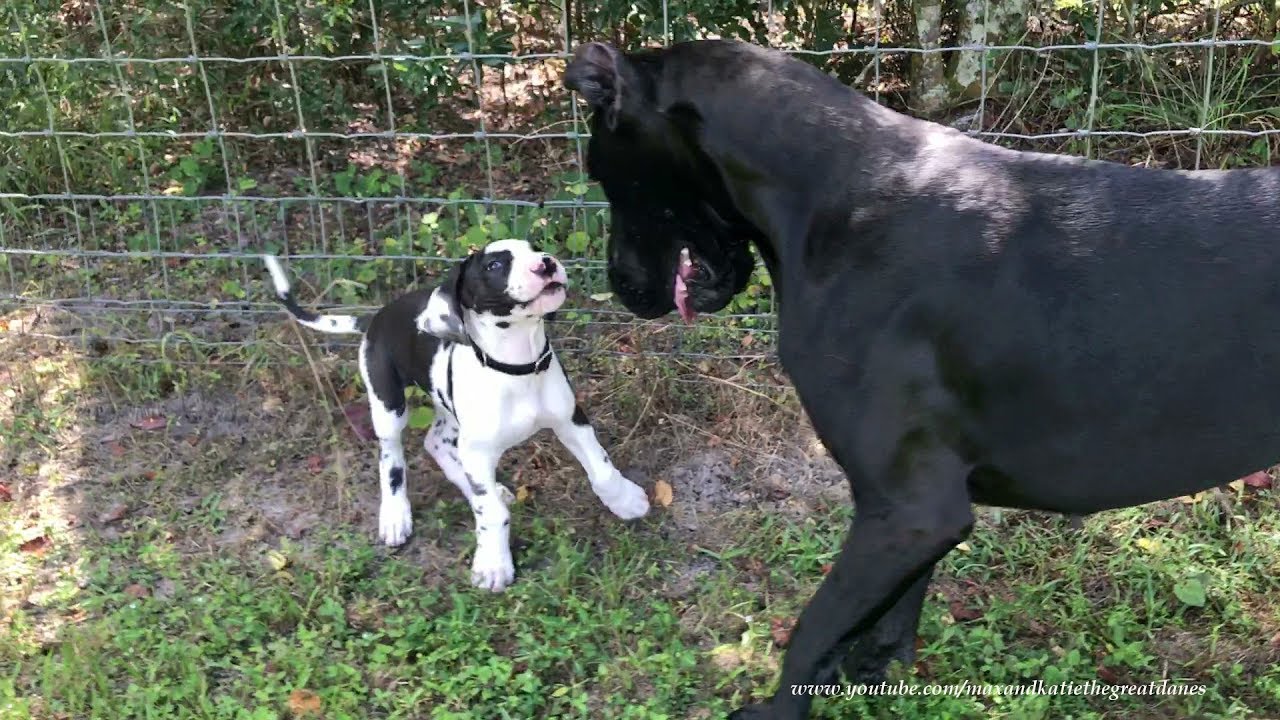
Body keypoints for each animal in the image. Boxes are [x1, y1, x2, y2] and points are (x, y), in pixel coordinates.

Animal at [266, 238, 655, 586]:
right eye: (494, 265)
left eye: (535, 248)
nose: (546, 263)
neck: (517, 368)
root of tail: (375, 318)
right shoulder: (479, 450)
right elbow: (491, 513)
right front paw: (494, 565)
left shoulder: (571, 420)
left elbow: (602, 468)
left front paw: (626, 501)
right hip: (388, 405)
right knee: (392, 459)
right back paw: (396, 515)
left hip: (452, 416)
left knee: (436, 444)